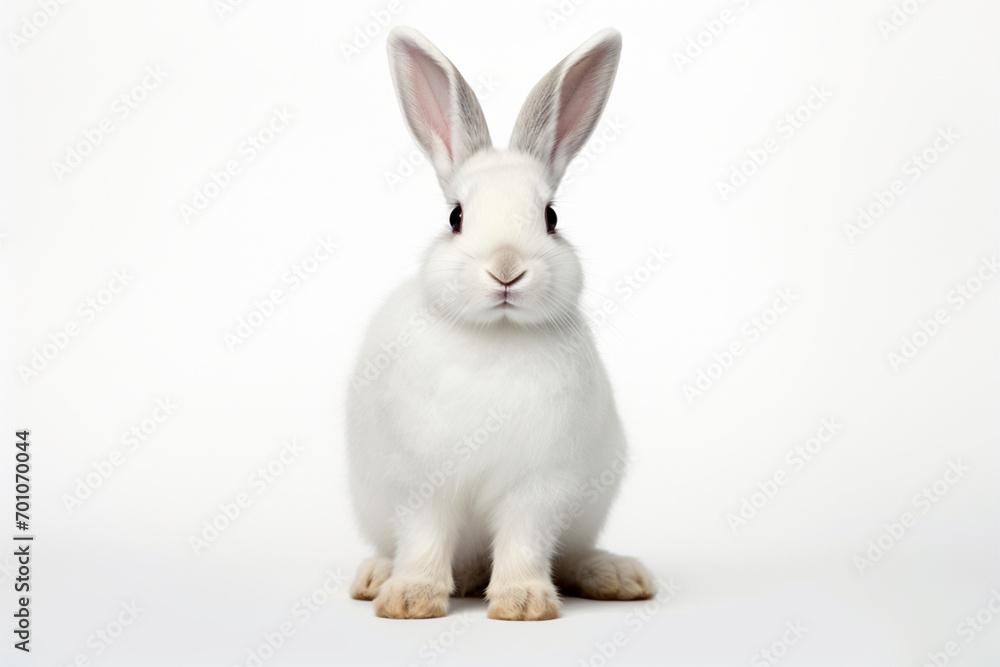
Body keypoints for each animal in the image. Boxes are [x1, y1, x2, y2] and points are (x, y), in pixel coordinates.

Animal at [346, 25, 654, 621]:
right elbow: (423, 539)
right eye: (455, 216)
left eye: (551, 217)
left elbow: (524, 542)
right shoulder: (420, 482)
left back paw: (617, 576)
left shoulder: (539, 486)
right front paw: (411, 599)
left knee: (571, 555)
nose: (507, 269)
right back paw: (376, 577)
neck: (497, 336)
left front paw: (523, 604)